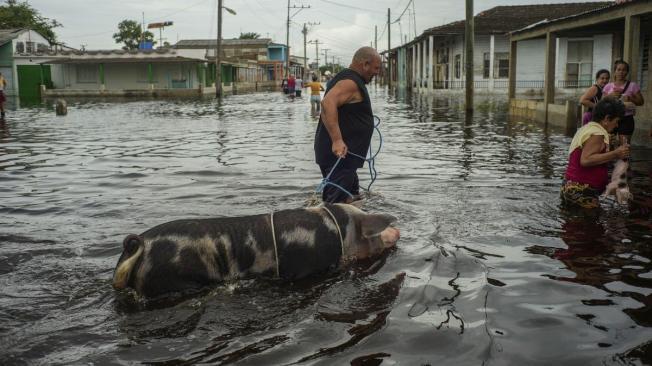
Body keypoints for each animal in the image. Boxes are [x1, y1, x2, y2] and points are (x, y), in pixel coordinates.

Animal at [111, 203, 398, 298]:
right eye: (371, 231)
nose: (397, 230)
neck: (337, 230)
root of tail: (139, 246)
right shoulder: (303, 271)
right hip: (173, 280)